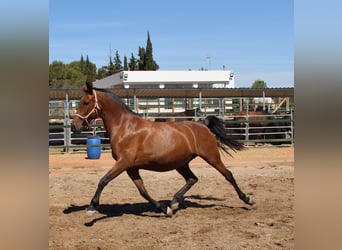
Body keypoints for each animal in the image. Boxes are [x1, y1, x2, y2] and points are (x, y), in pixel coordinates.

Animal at [71, 82, 254, 217]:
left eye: (85, 103)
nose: (74, 126)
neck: (124, 127)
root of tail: (203, 125)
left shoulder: (124, 163)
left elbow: (103, 180)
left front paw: (91, 207)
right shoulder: (131, 167)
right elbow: (143, 191)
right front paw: (164, 209)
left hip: (211, 157)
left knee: (228, 175)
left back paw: (247, 199)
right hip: (181, 163)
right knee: (192, 179)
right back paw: (174, 202)